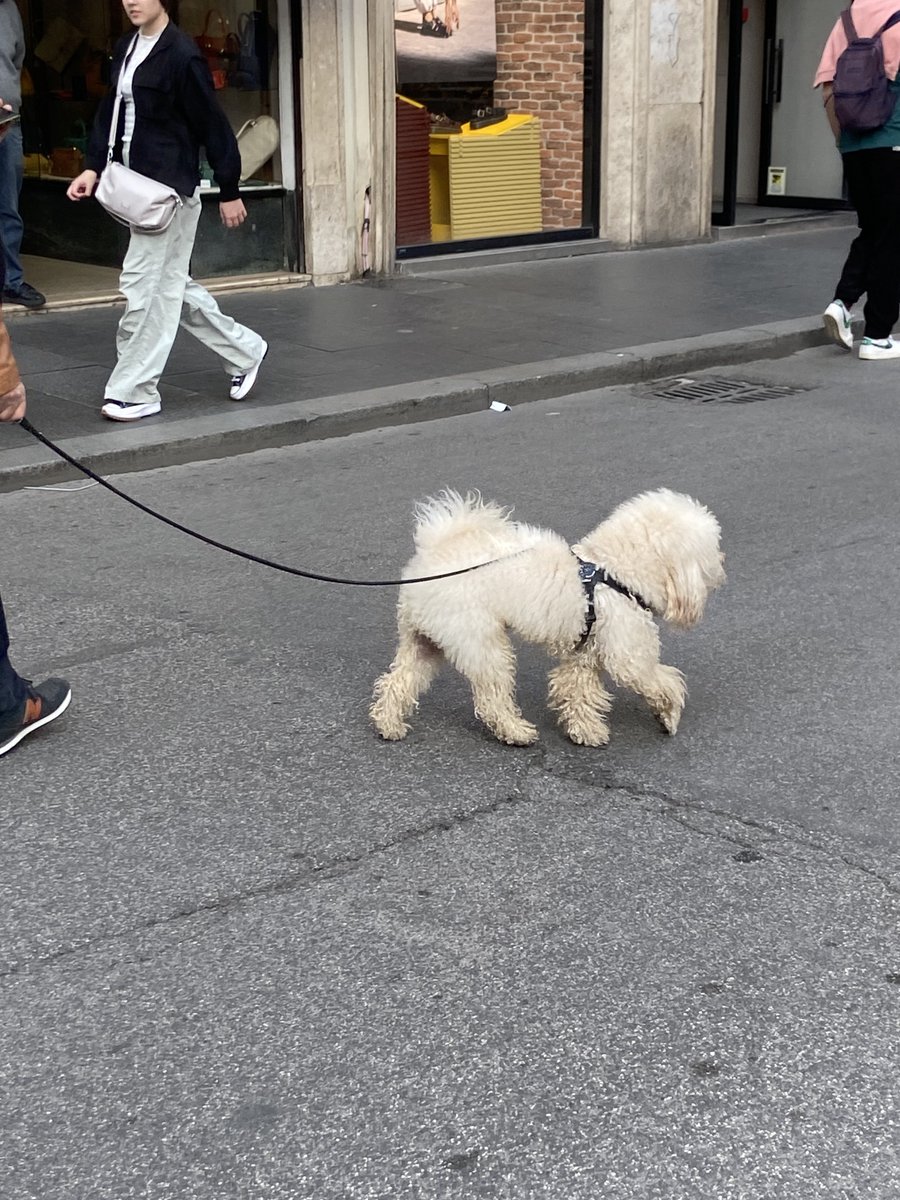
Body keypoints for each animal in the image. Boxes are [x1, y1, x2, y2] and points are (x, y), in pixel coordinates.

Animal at [369, 484, 729, 744]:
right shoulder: (629, 655)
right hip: (481, 643)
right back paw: (516, 732)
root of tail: (434, 553)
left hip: (425, 639)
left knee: (398, 681)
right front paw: (669, 714)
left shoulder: (584, 654)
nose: (723, 568)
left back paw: (388, 724)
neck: (615, 572)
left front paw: (585, 732)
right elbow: (659, 679)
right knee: (491, 699)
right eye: (712, 548)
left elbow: (577, 691)